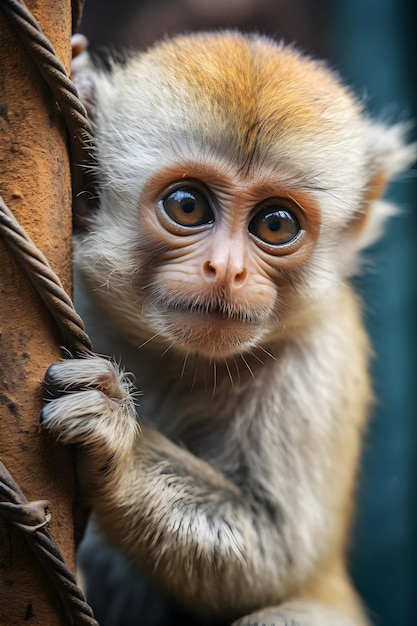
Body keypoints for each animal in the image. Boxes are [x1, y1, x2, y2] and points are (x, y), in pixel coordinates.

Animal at [38, 30, 412, 624]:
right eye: (188, 207)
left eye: (275, 224)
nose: (227, 270)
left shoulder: (321, 358)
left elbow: (273, 555)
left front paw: (117, 443)